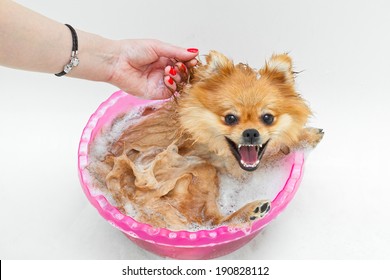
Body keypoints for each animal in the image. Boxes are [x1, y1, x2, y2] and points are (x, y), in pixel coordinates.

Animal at [90, 51, 322, 231]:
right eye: (230, 118)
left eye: (267, 118)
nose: (251, 133)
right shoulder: (231, 168)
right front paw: (307, 136)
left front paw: (304, 136)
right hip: (203, 170)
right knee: (212, 221)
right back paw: (250, 212)